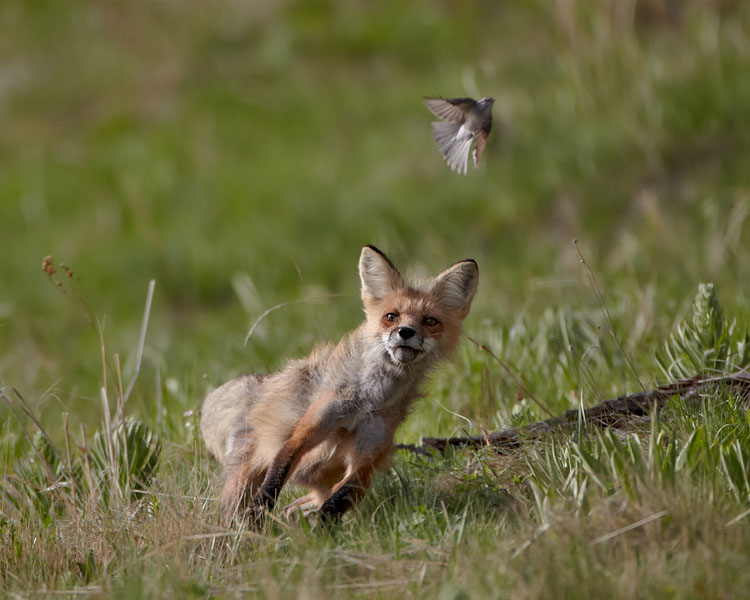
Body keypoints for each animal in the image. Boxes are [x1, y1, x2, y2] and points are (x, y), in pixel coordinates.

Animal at [201, 246, 482, 524]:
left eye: (430, 321)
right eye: (391, 317)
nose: (405, 332)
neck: (370, 398)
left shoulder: (367, 454)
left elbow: (341, 497)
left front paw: (323, 528)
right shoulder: (311, 426)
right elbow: (280, 466)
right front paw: (261, 509)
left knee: (309, 501)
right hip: (245, 475)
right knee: (235, 504)